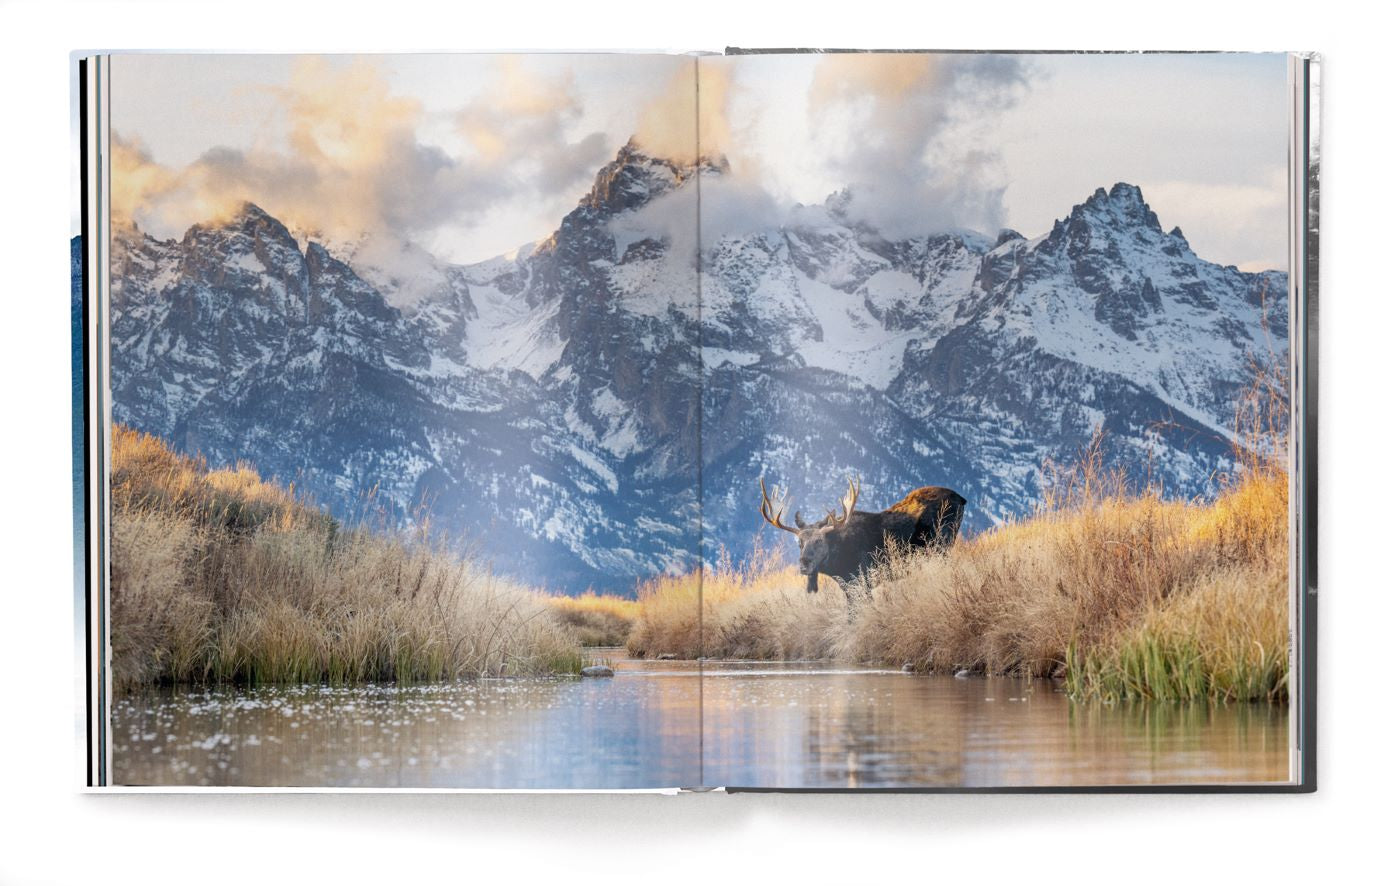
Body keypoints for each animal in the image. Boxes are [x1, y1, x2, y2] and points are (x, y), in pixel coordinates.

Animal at [763, 472, 967, 598]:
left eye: (820, 541)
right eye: (799, 543)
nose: (804, 564)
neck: (837, 564)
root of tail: (962, 498)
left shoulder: (863, 580)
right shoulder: (849, 586)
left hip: (941, 545)